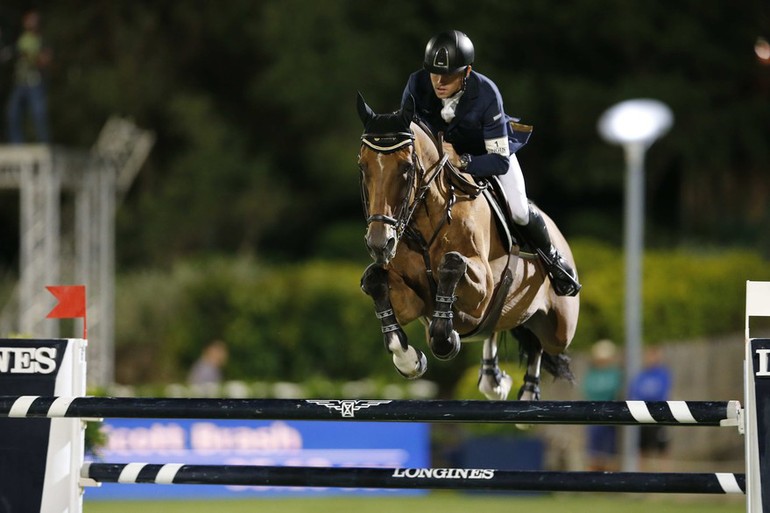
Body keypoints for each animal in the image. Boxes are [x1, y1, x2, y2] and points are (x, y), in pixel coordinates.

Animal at [356, 95, 576, 400]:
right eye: (362, 166)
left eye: (406, 168)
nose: (380, 243)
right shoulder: (413, 301)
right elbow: (375, 280)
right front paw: (410, 361)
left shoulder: (482, 290)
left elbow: (452, 263)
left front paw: (445, 339)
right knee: (506, 330)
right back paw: (494, 380)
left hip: (561, 329)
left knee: (540, 342)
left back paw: (528, 391)